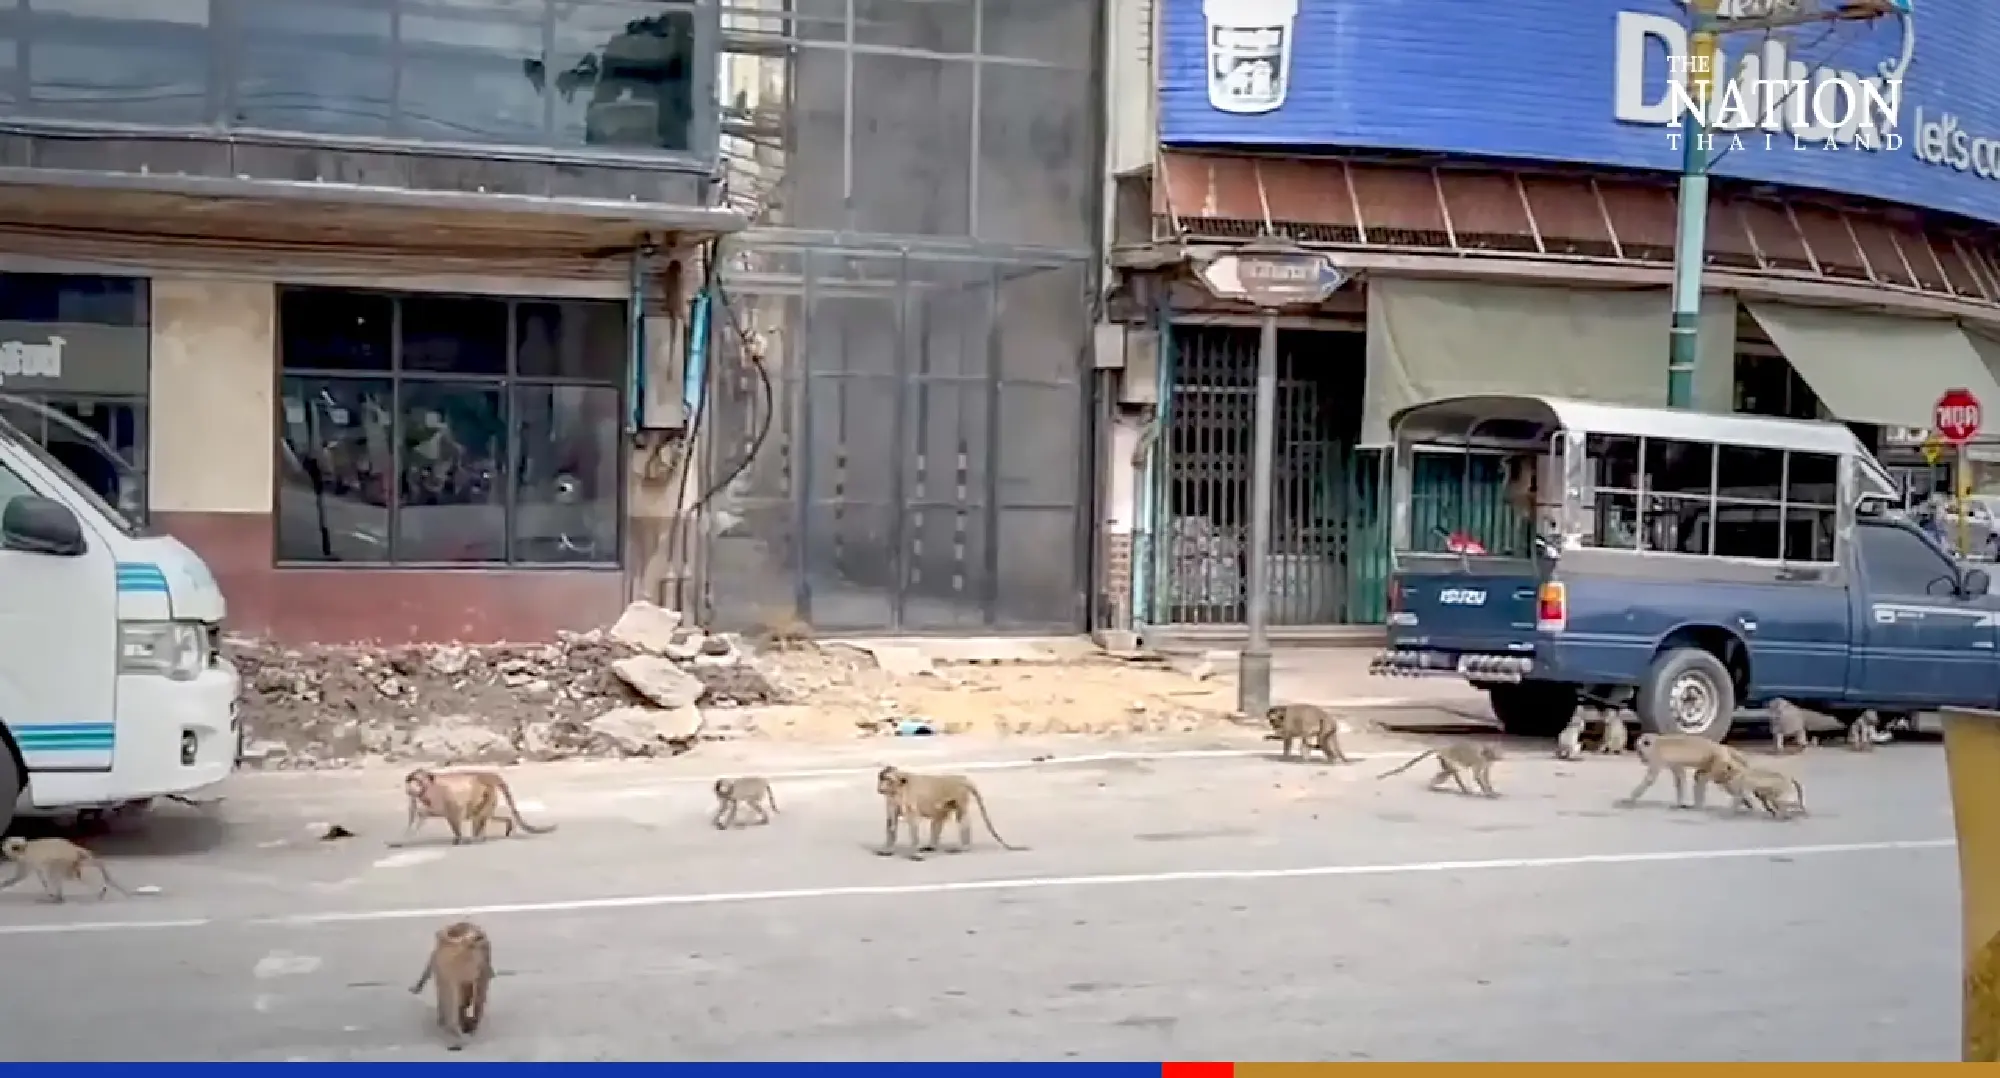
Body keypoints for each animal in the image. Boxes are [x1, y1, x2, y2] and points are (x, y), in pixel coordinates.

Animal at [0, 836, 132, 902]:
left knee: (56, 871)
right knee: (77, 871)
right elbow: (41, 876)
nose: (4, 851)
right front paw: (49, 891)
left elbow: (19, 877)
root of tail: (72, 847)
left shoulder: (26, 861)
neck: (24, 849)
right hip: (72, 860)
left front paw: (3, 885)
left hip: (65, 859)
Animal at [393, 769, 557, 848]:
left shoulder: (445, 798)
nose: (411, 786)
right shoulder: (418, 800)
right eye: (411, 779)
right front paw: (401, 840)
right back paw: (504, 825)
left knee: (477, 815)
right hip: (489, 796)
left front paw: (459, 837)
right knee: (484, 815)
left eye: (417, 780)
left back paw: (474, 837)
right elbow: (418, 818)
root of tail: (488, 775)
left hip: (486, 793)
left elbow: (454, 813)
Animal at [410, 920, 494, 1051]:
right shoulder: (449, 977)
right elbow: (452, 1003)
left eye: (477, 937)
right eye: (467, 940)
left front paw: (469, 1026)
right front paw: (455, 1032)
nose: (478, 937)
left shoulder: (479, 972)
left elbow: (476, 999)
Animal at [874, 765, 1025, 861]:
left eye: (888, 780)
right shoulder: (891, 800)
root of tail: (962, 778)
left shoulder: (908, 799)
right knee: (938, 818)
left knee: (962, 818)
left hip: (960, 796)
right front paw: (888, 849)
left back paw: (963, 847)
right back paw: (932, 846)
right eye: (881, 778)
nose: (880, 788)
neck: (898, 789)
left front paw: (915, 854)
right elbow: (891, 821)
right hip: (946, 803)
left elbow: (913, 823)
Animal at [1618, 733, 1753, 810]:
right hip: (1718, 762)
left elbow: (1650, 780)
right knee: (1701, 777)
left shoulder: (1657, 757)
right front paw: (1680, 802)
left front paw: (1631, 798)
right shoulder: (1673, 763)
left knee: (1715, 779)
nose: (1642, 759)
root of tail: (1721, 747)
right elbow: (1680, 778)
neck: (1656, 744)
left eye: (1640, 752)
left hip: (1719, 761)